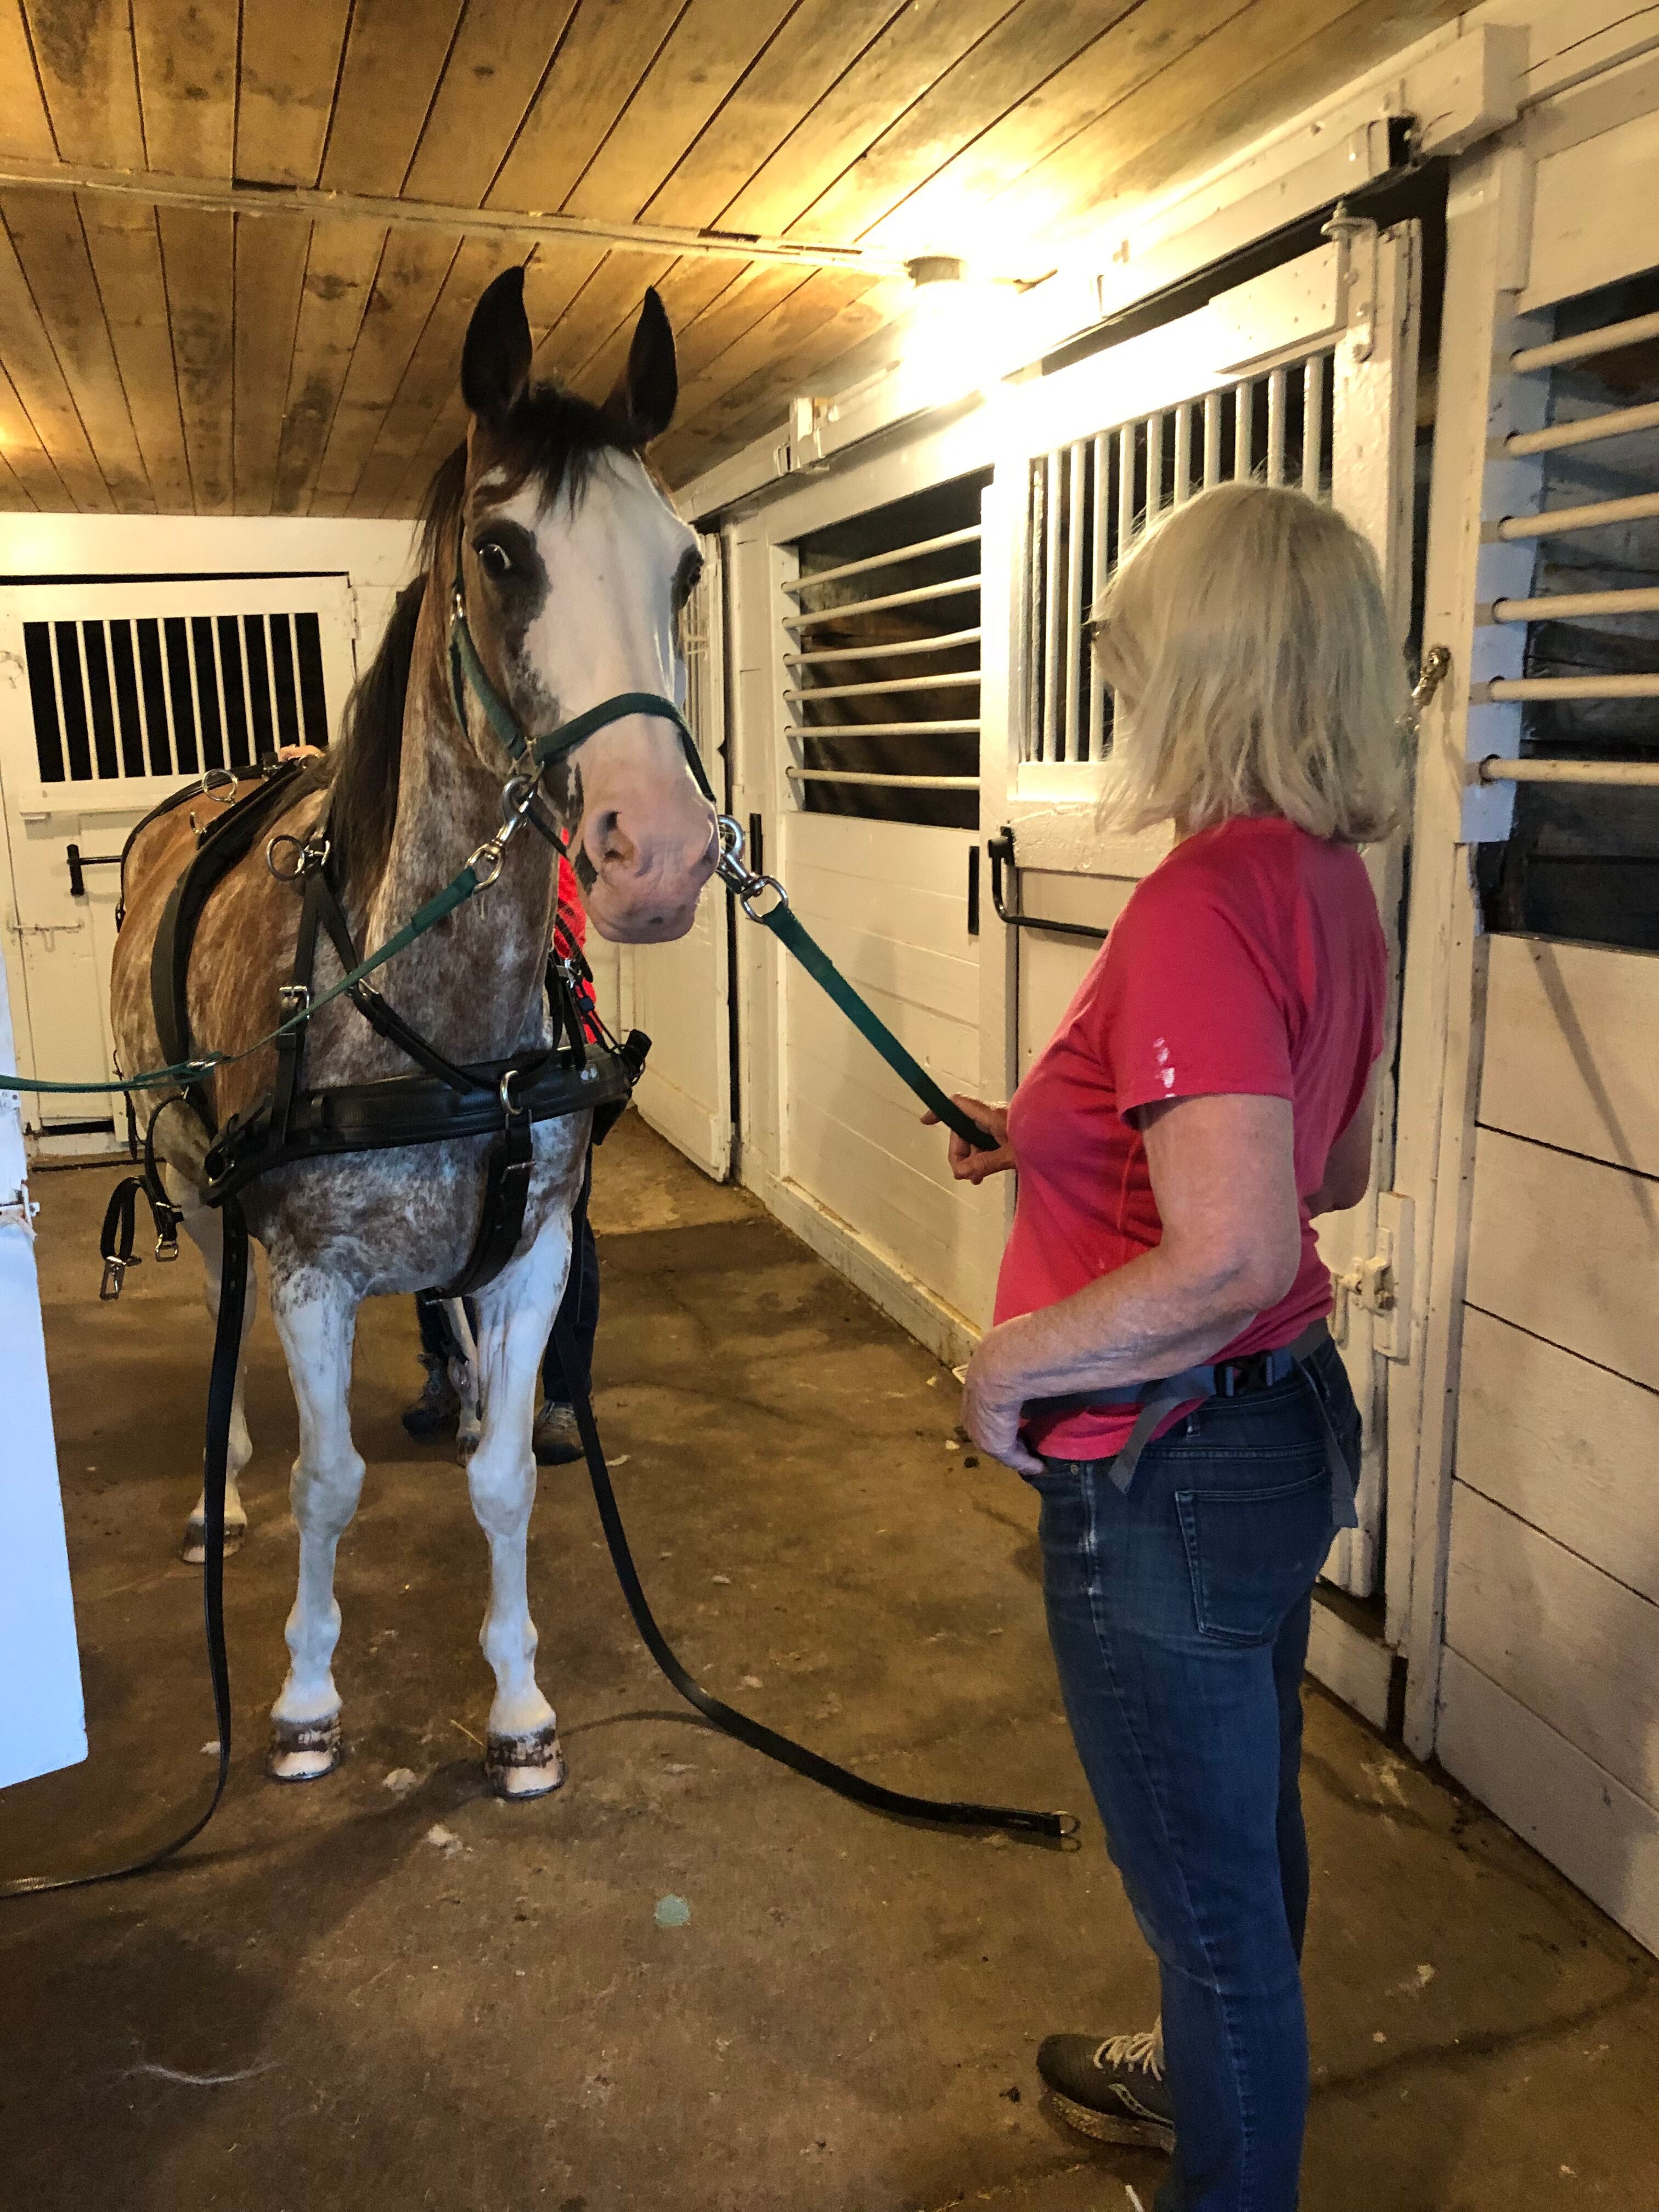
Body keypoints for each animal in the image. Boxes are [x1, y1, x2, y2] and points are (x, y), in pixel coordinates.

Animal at [110, 268, 718, 1800]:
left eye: (684, 567)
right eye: (501, 554)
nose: (663, 853)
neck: (441, 1032)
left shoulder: (533, 1251)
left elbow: (503, 1482)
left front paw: (519, 1706)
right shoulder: (312, 1274)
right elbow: (330, 1485)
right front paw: (304, 1696)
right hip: (185, 1165)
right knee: (224, 1328)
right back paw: (223, 1490)